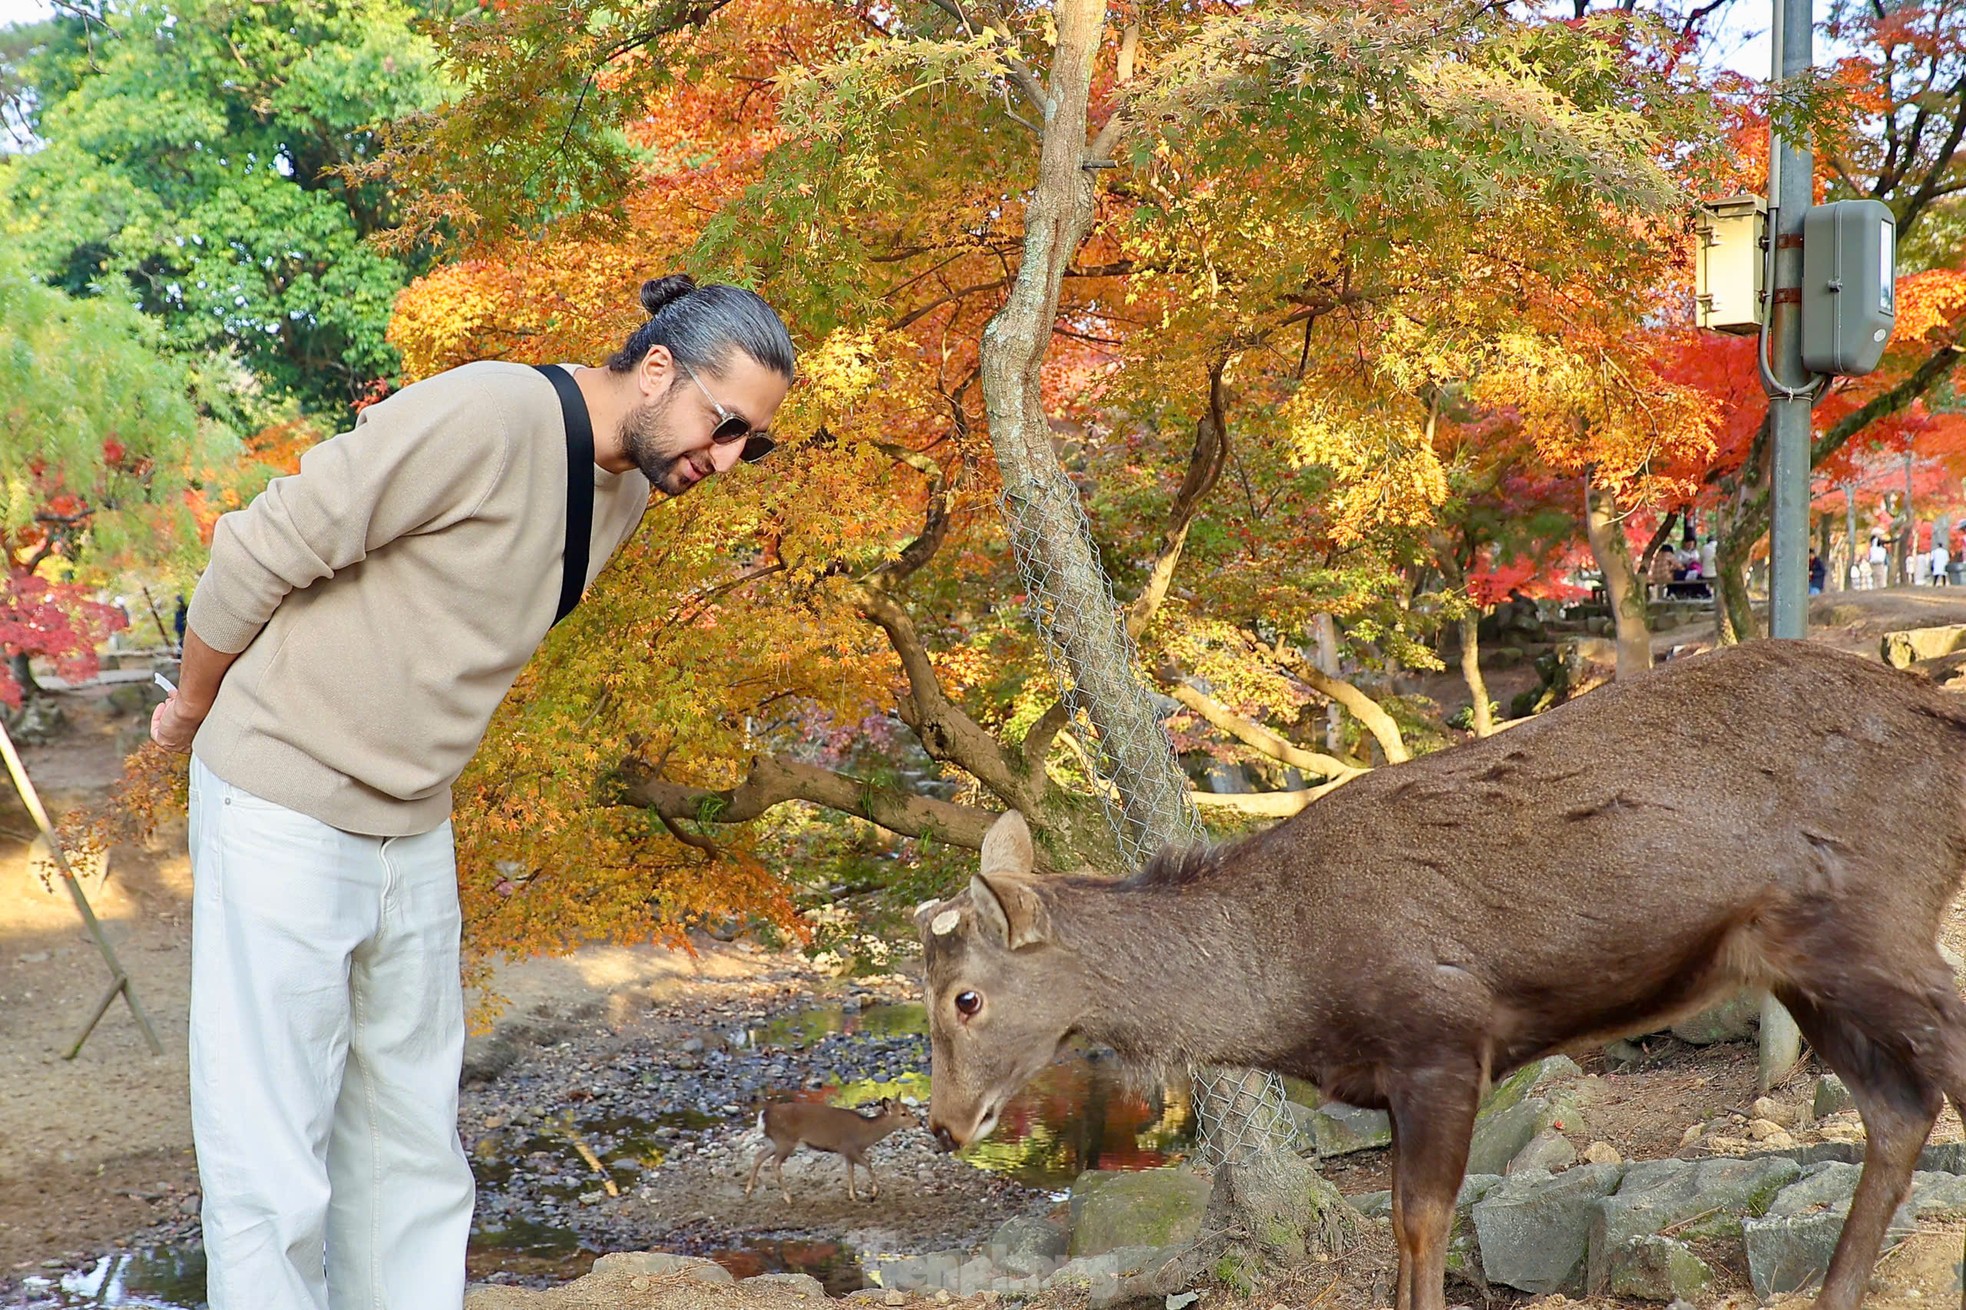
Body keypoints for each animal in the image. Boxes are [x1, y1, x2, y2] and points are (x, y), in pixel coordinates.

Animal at [743, 1085, 920, 1195]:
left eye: (908, 1109)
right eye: (903, 1114)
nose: (918, 1122)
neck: (866, 1134)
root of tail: (763, 1116)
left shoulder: (847, 1152)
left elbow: (850, 1169)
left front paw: (853, 1195)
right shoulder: (849, 1146)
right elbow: (867, 1164)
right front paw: (874, 1192)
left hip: (774, 1141)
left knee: (758, 1156)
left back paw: (748, 1190)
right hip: (785, 1140)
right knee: (774, 1163)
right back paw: (788, 1198)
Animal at [912, 641, 1966, 1306]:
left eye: (966, 998)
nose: (943, 1126)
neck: (1293, 985)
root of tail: (1945, 722)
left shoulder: (1443, 1043)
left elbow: (1421, 1228)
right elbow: (1402, 1228)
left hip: (1876, 919)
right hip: (1805, 966)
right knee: (1899, 1107)